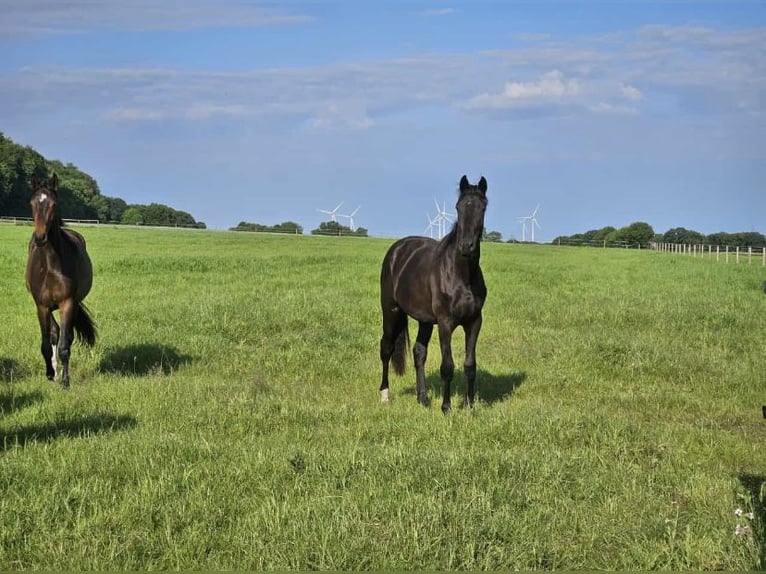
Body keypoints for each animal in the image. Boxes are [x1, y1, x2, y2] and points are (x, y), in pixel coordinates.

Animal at [25, 174, 96, 392]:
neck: (50, 265)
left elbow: (65, 345)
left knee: (67, 336)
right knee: (55, 333)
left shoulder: (68, 303)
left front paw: (65, 381)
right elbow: (46, 344)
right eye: (32, 203)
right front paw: (50, 373)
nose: (40, 238)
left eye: (53, 204)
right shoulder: (41, 306)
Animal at [380, 176, 492, 414]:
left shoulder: (474, 321)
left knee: (418, 352)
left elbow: (470, 365)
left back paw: (422, 398)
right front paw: (447, 407)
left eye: (482, 207)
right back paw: (384, 395)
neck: (461, 275)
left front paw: (469, 406)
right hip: (391, 310)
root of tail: (397, 249)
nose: (466, 246)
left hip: (424, 320)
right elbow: (447, 366)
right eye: (458, 207)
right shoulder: (445, 323)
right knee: (386, 348)